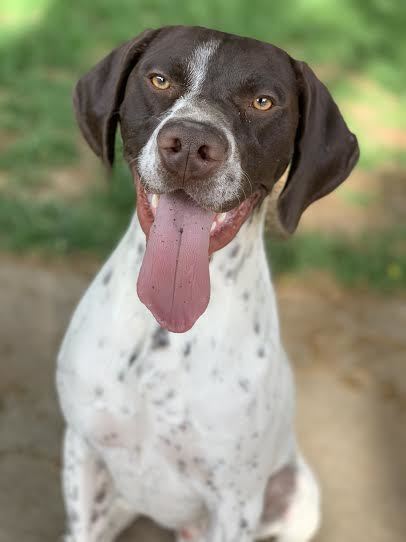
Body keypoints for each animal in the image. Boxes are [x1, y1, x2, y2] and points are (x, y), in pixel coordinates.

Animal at [56, 26, 358, 542]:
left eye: (263, 101)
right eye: (158, 79)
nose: (190, 145)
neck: (165, 332)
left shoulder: (234, 503)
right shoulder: (83, 450)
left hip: (298, 494)